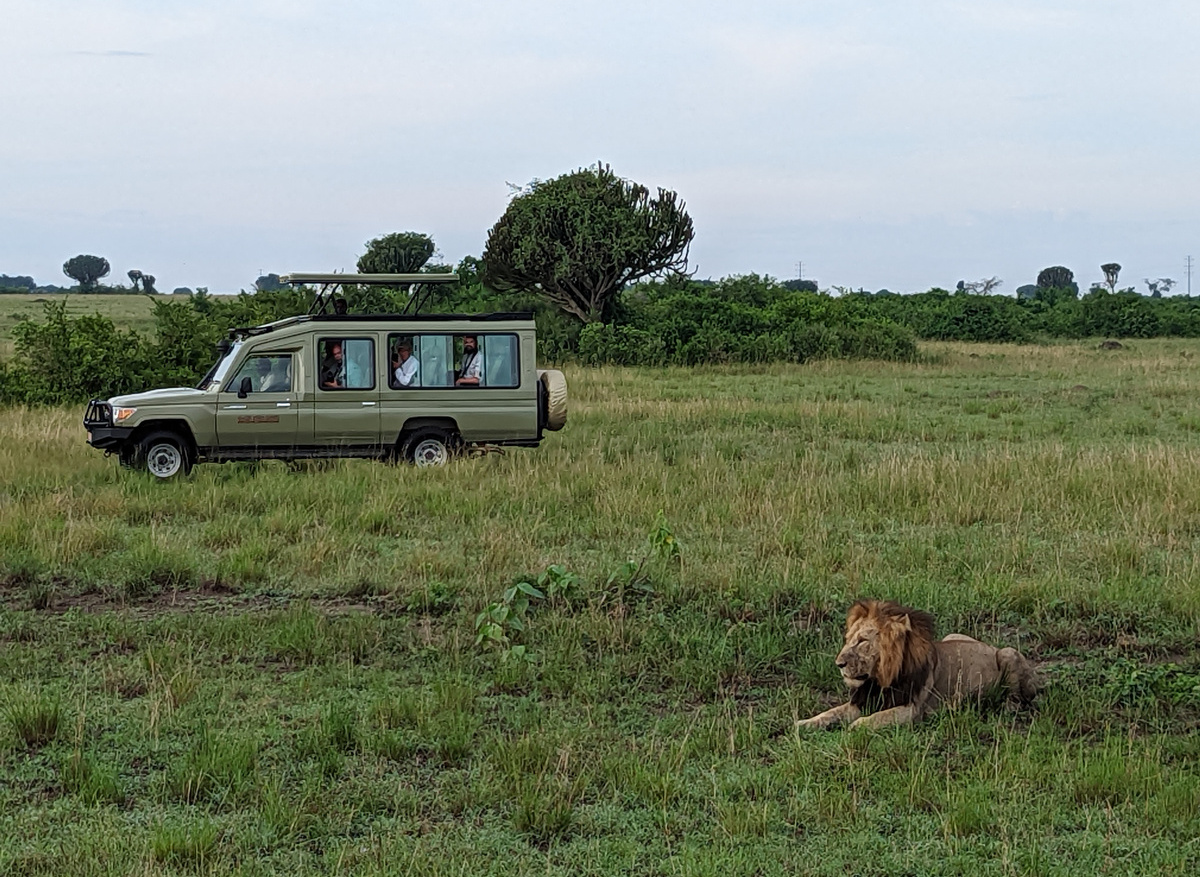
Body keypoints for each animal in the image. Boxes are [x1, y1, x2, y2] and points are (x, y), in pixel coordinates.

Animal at [797, 599, 1040, 731]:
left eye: (863, 641)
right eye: (848, 640)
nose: (839, 663)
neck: (879, 680)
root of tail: (990, 645)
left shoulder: (911, 709)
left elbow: (877, 718)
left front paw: (855, 727)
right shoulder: (861, 702)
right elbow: (830, 712)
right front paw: (803, 723)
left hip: (1008, 653)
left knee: (1020, 696)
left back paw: (1007, 707)